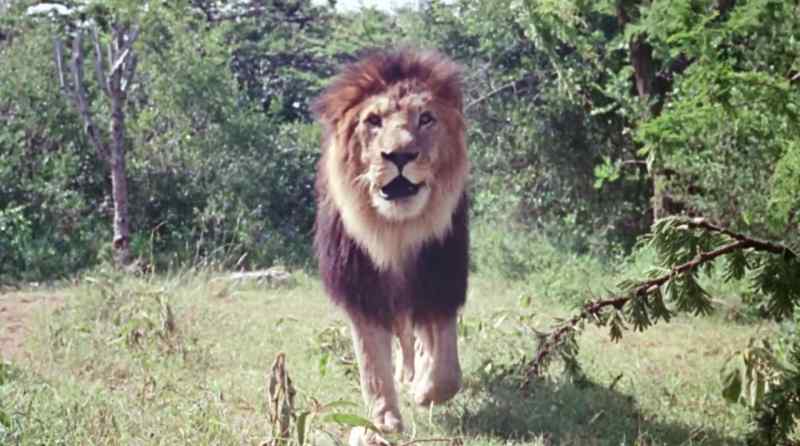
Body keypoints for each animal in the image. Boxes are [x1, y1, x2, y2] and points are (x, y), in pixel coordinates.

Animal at [312, 49, 469, 445]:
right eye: (373, 121)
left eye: (426, 118)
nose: (399, 155)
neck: (395, 231)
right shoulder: (362, 291)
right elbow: (372, 365)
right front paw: (383, 423)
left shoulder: (441, 282)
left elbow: (447, 369)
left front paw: (425, 392)